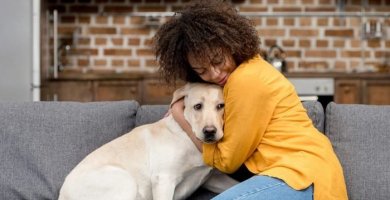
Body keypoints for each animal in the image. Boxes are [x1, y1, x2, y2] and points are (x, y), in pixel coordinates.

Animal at [56, 82, 236, 199]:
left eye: (221, 106)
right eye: (198, 106)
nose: (209, 132)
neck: (188, 135)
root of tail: (61, 194)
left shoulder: (212, 178)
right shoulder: (163, 180)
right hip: (125, 182)